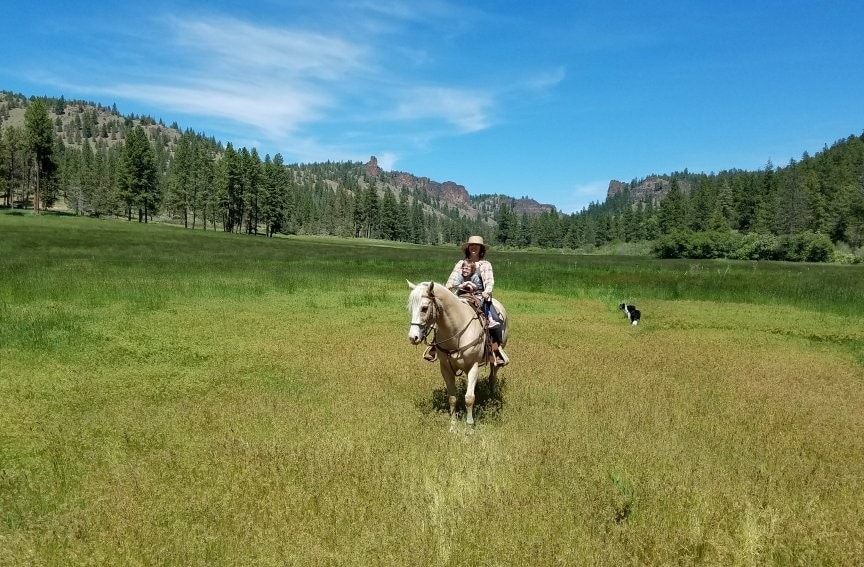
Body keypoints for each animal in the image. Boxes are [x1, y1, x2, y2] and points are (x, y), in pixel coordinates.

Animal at [408, 282, 510, 432]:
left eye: (424, 308)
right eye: (410, 308)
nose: (413, 337)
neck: (456, 331)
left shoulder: (473, 367)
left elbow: (469, 398)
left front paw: (469, 427)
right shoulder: (445, 368)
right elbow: (452, 398)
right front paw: (453, 427)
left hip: (495, 358)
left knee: (492, 376)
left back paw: (491, 398)